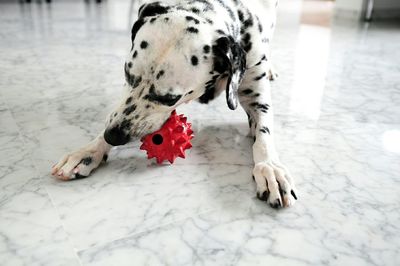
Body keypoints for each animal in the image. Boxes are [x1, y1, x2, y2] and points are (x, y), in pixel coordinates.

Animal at [50, 0, 296, 208]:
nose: (114, 136)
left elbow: (263, 137)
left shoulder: (257, 97)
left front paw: (270, 167)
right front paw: (90, 150)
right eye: (127, 73)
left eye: (170, 98)